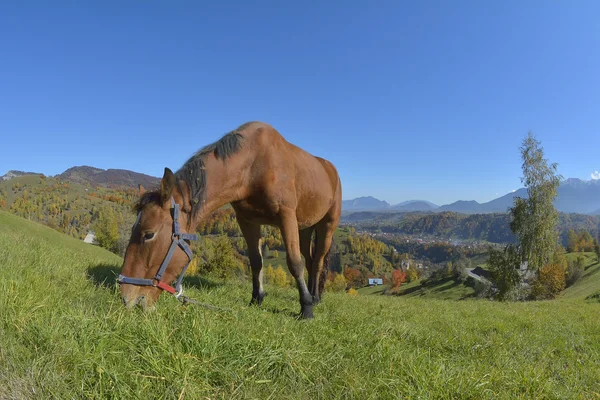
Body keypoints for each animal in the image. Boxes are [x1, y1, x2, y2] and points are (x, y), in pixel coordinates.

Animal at [118, 122, 342, 318]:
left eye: (149, 234)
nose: (126, 298)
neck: (254, 164)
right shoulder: (248, 221)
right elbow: (256, 262)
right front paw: (256, 299)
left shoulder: (286, 216)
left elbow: (294, 263)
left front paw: (306, 308)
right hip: (305, 228)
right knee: (311, 259)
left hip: (327, 226)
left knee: (318, 260)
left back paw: (314, 297)